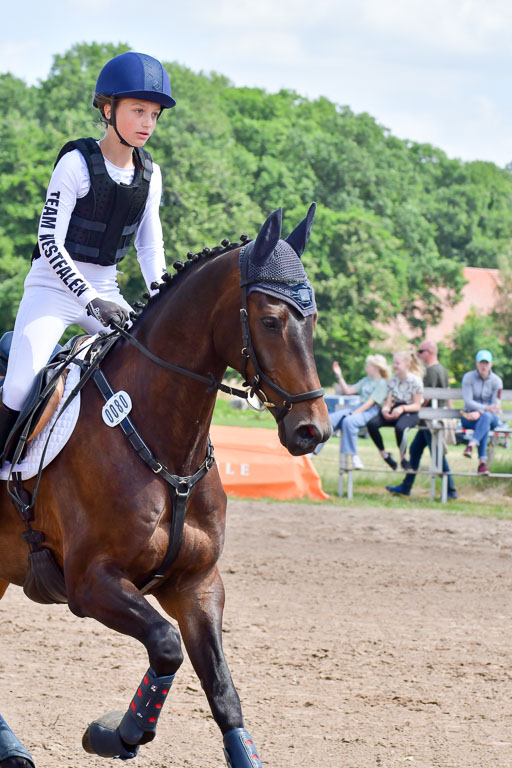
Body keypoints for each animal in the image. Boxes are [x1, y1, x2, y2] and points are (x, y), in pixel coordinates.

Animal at [0, 205, 331, 767]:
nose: (313, 430)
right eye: (270, 320)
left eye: (311, 319)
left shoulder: (196, 584)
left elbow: (221, 688)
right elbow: (166, 644)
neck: (165, 448)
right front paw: (117, 733)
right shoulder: (91, 583)